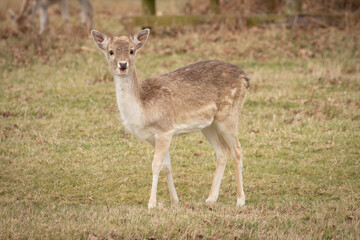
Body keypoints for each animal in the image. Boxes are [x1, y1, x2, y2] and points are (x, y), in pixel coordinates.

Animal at [90, 27, 250, 208]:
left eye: (132, 50)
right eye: (110, 51)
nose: (123, 64)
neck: (143, 112)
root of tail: (245, 78)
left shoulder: (165, 129)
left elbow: (155, 165)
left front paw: (151, 204)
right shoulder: (153, 138)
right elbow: (166, 166)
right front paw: (175, 201)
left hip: (229, 114)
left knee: (237, 150)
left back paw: (240, 200)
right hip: (209, 124)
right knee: (222, 151)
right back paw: (211, 198)